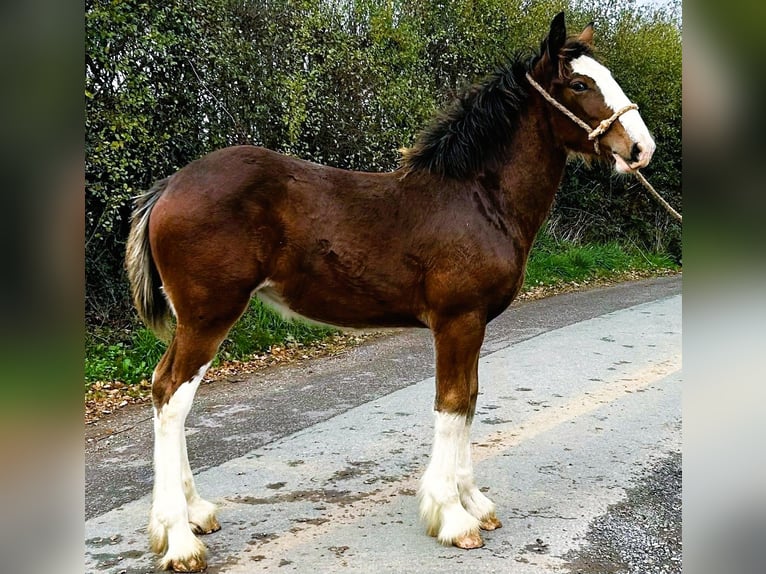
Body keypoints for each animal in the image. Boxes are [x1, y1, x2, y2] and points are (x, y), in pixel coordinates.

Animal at [125, 12, 655, 572]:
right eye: (579, 85)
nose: (641, 149)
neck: (477, 198)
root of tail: (168, 187)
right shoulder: (458, 320)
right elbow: (451, 403)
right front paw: (453, 518)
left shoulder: (473, 324)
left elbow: (469, 399)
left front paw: (474, 503)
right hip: (208, 316)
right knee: (170, 396)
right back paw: (179, 540)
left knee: (168, 395)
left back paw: (195, 514)